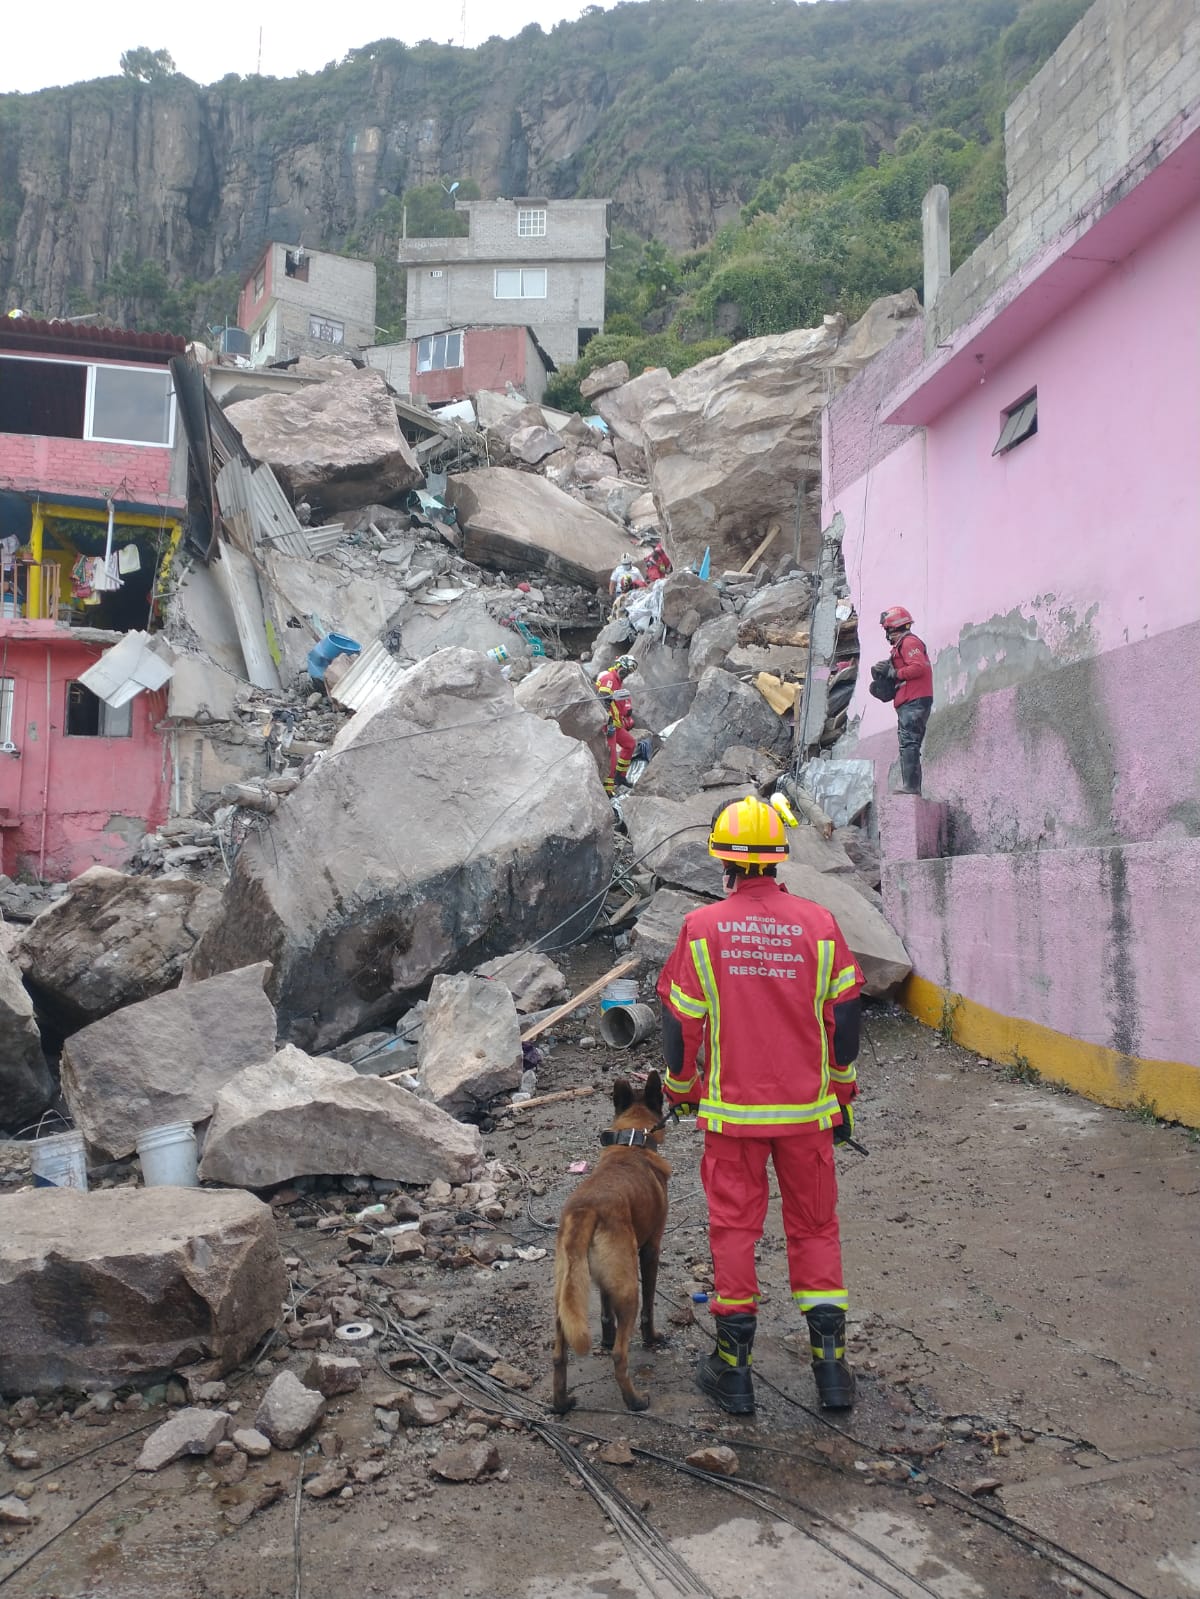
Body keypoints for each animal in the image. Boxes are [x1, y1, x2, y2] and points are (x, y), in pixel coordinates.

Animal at [553, 1074, 672, 1413]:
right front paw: (652, 1336)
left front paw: (606, 1337)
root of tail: (586, 1210)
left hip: (564, 1294)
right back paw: (635, 1400)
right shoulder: (650, 1250)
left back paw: (561, 1403)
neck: (632, 1143)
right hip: (629, 1287)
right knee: (621, 1354)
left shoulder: (603, 1282)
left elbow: (605, 1311)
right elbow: (649, 1307)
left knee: (558, 1355)